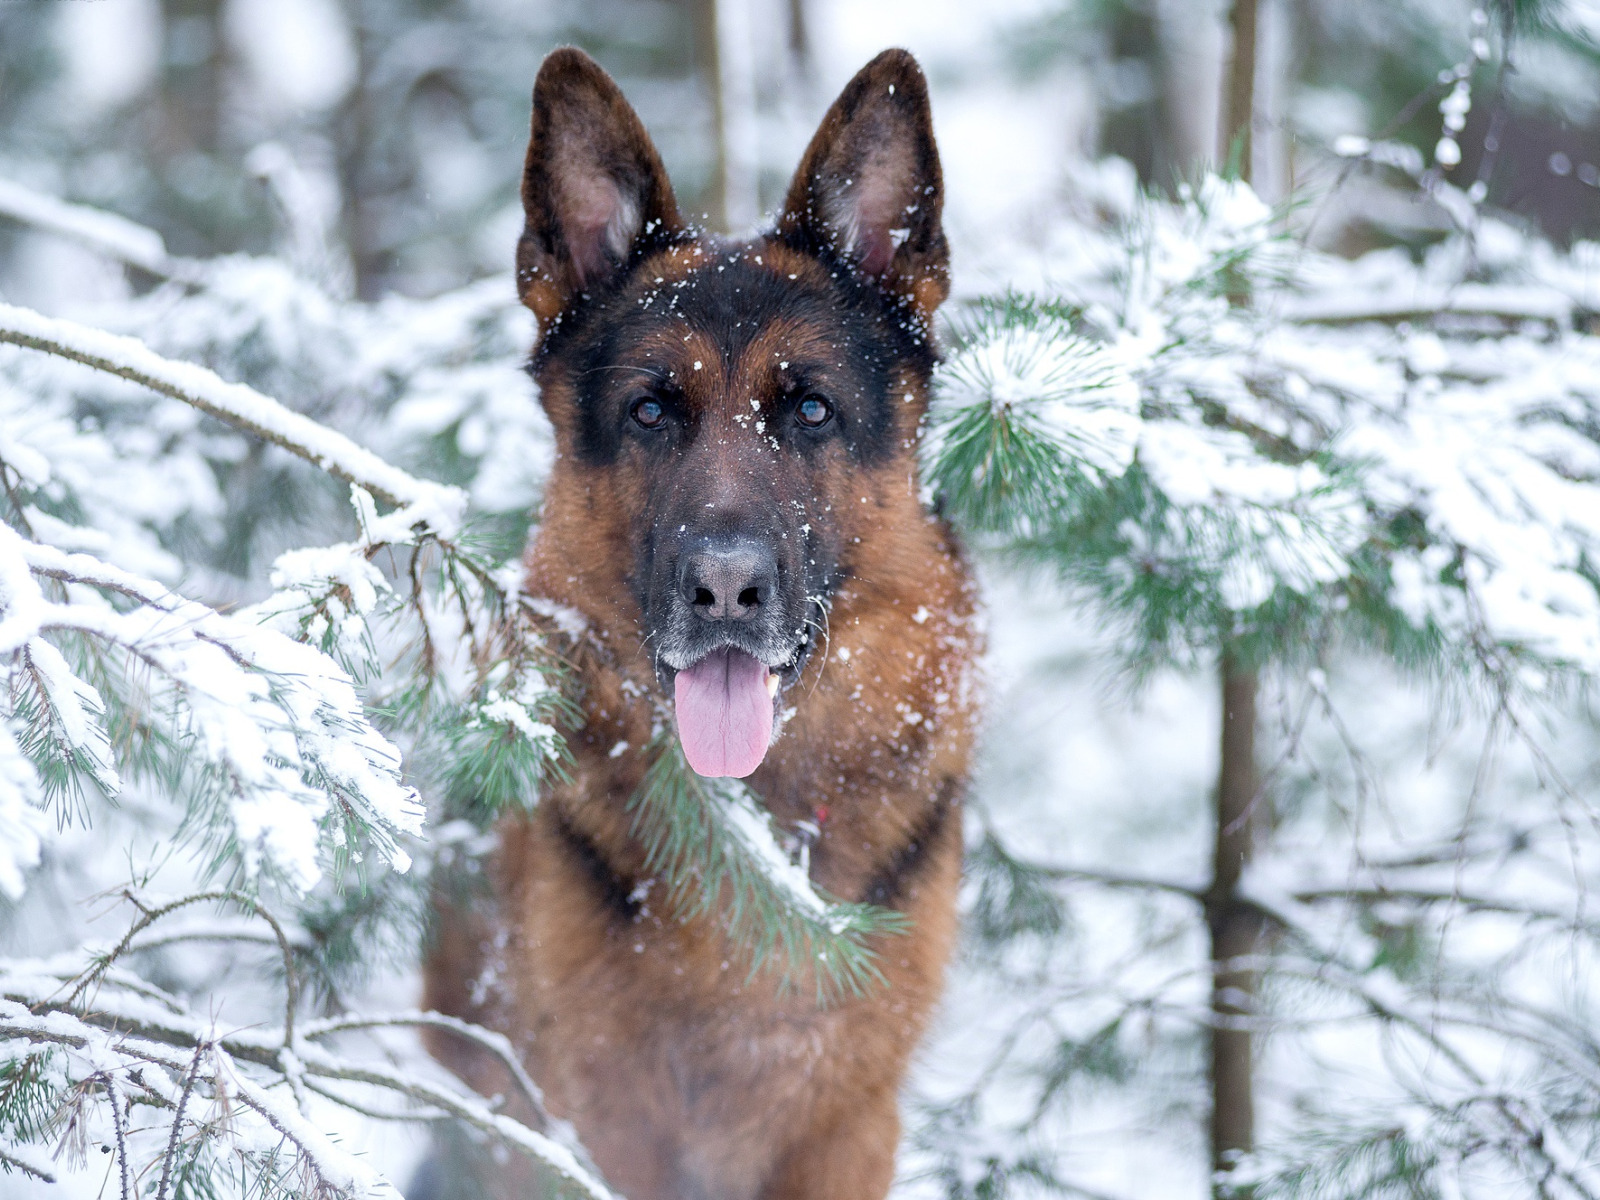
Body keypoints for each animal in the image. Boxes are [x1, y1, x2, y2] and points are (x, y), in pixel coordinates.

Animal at [419, 47, 979, 1200]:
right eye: (649, 412)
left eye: (809, 409)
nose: (724, 589)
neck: (752, 832)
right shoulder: (605, 1120)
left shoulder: (846, 1127)